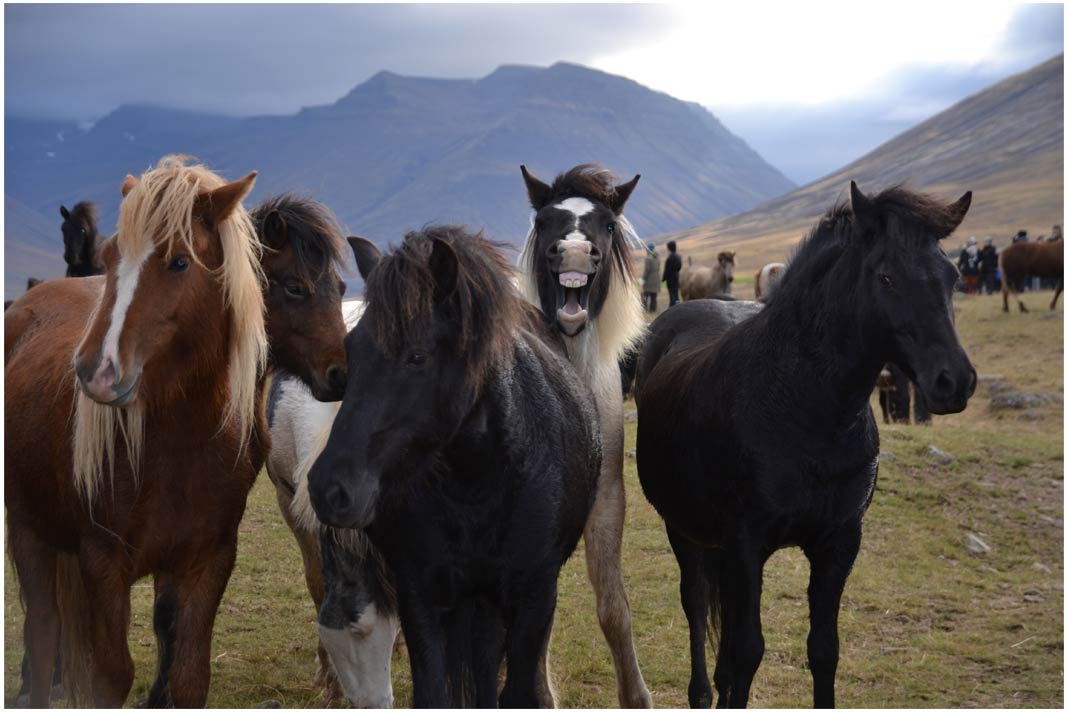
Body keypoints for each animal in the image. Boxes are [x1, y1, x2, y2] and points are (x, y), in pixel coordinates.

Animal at [5, 155, 267, 708]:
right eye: (108, 257)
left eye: (179, 263)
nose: (93, 370)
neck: (181, 446)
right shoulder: (103, 563)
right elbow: (110, 675)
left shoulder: (208, 562)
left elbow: (188, 677)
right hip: (28, 529)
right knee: (43, 633)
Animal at [305, 227, 602, 708]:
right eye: (352, 349)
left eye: (417, 357)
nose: (328, 489)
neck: (478, 485)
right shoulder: (419, 596)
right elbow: (433, 691)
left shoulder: (534, 598)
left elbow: (518, 691)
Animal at [632, 182, 978, 708]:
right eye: (886, 277)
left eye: (953, 276)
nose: (954, 381)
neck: (805, 409)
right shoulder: (745, 544)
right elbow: (748, 650)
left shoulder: (839, 544)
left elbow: (823, 650)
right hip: (684, 529)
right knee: (695, 604)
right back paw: (701, 692)